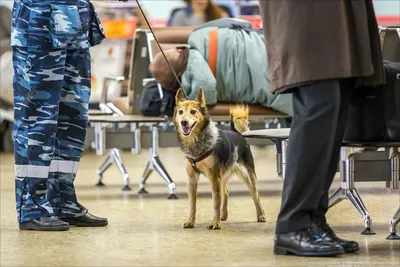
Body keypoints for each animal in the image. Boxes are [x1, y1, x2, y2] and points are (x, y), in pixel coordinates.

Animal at [174, 88, 266, 230]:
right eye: (180, 112)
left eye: (193, 111)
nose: (184, 122)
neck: (197, 141)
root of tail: (236, 132)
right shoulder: (192, 179)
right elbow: (192, 204)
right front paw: (190, 221)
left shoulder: (214, 177)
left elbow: (216, 202)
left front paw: (215, 223)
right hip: (223, 175)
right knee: (226, 192)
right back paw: (223, 215)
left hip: (248, 176)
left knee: (255, 195)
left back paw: (261, 215)